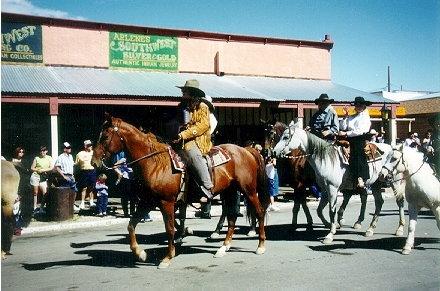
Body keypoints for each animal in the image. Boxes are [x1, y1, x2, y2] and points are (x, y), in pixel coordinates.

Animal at [92, 113, 268, 270]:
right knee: (231, 217)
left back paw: (260, 245)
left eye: (105, 137)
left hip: (249, 190)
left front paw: (167, 258)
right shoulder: (148, 202)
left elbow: (169, 229)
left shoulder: (167, 202)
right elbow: (131, 225)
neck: (155, 163)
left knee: (259, 211)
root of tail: (246, 150)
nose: (94, 163)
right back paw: (223, 248)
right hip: (230, 192)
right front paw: (140, 253)